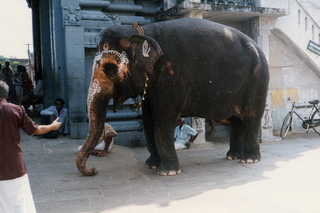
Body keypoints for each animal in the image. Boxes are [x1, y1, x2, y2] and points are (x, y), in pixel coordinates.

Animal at [76, 17, 268, 176]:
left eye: (110, 69)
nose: (93, 169)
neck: (143, 33)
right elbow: (148, 120)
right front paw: (151, 165)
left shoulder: (174, 78)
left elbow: (163, 119)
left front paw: (168, 172)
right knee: (236, 120)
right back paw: (232, 156)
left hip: (258, 80)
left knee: (251, 117)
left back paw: (249, 159)